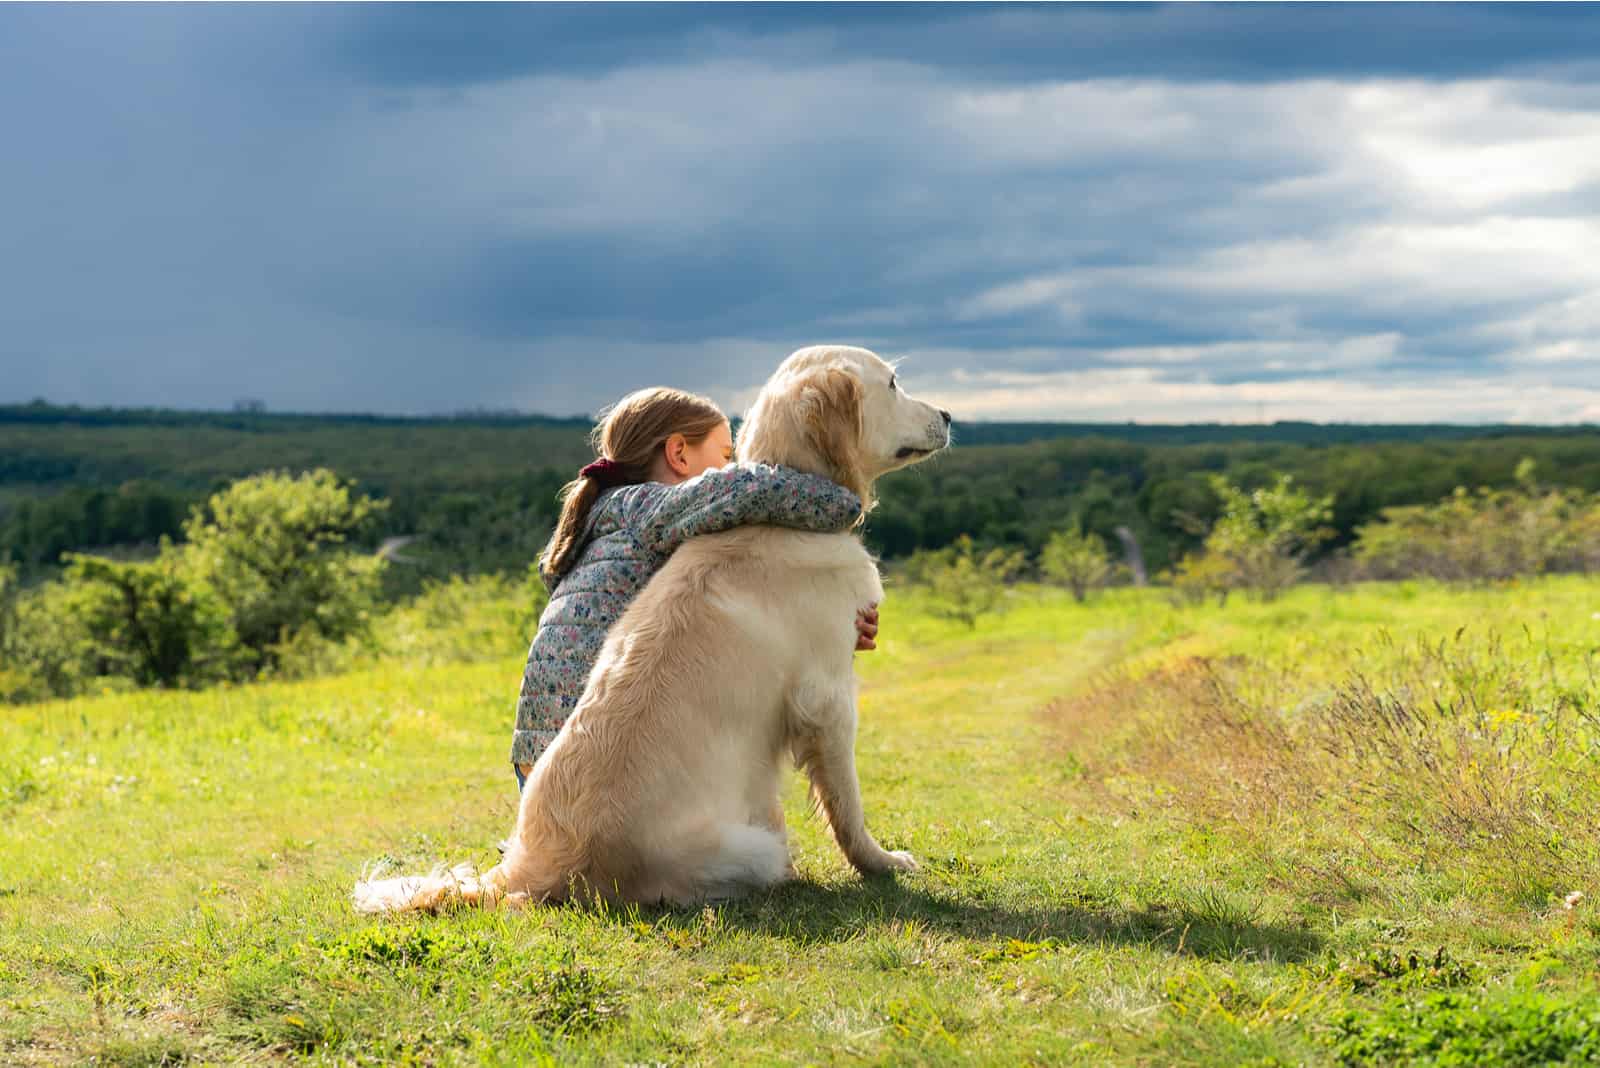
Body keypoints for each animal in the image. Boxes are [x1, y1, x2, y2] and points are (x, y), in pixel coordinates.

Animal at [355, 343, 947, 908]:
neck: (784, 517)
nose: (945, 413)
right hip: (753, 847)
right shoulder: (828, 699)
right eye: (893, 382)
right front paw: (882, 862)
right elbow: (847, 805)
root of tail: (529, 868)